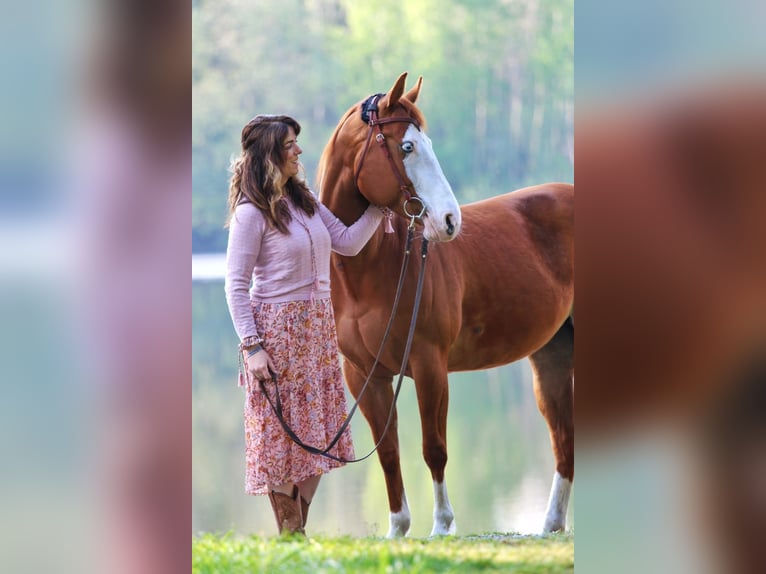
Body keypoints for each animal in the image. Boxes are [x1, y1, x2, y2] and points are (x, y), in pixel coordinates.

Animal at [317, 72, 574, 537]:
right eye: (406, 146)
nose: (450, 221)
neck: (370, 270)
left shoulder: (429, 364)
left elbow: (433, 448)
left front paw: (440, 527)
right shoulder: (365, 376)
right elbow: (388, 452)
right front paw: (398, 528)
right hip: (552, 355)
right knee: (564, 439)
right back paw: (550, 525)